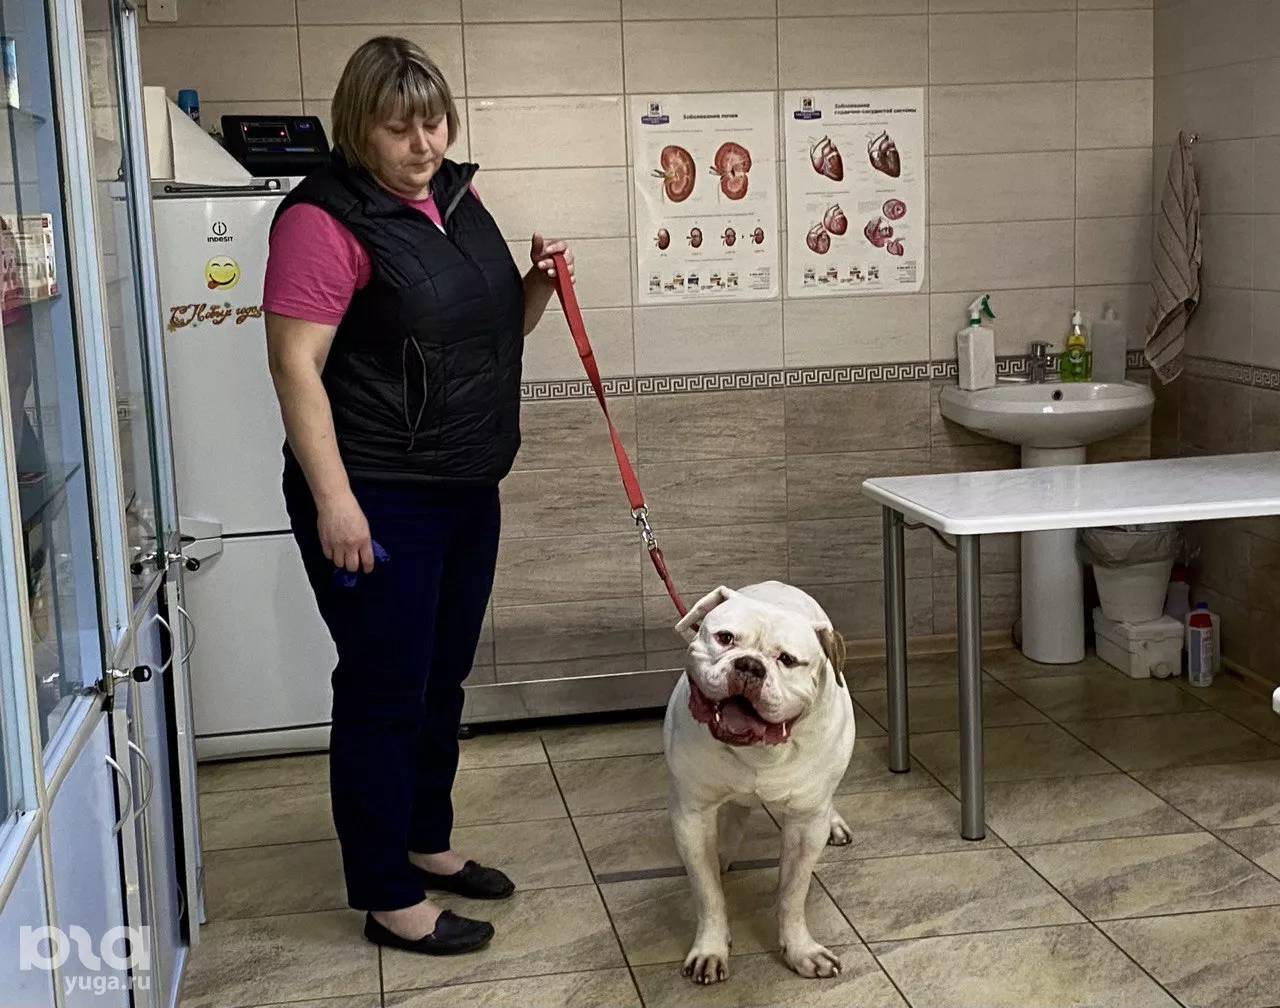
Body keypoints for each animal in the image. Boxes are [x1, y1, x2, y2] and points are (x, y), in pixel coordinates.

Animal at [663, 581, 855, 985]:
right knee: (736, 812)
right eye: (725, 638)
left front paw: (801, 950)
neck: (758, 751)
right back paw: (724, 852)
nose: (750, 665)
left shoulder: (805, 825)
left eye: (787, 659)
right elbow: (707, 892)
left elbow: (793, 894)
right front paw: (710, 949)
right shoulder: (691, 816)